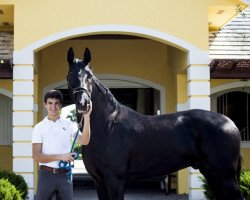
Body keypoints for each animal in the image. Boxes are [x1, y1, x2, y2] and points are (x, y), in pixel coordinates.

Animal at [66, 47, 244, 200]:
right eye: (69, 77)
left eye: (89, 76)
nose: (83, 104)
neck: (106, 126)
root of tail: (230, 123)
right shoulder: (98, 180)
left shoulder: (115, 179)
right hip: (210, 173)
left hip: (226, 176)